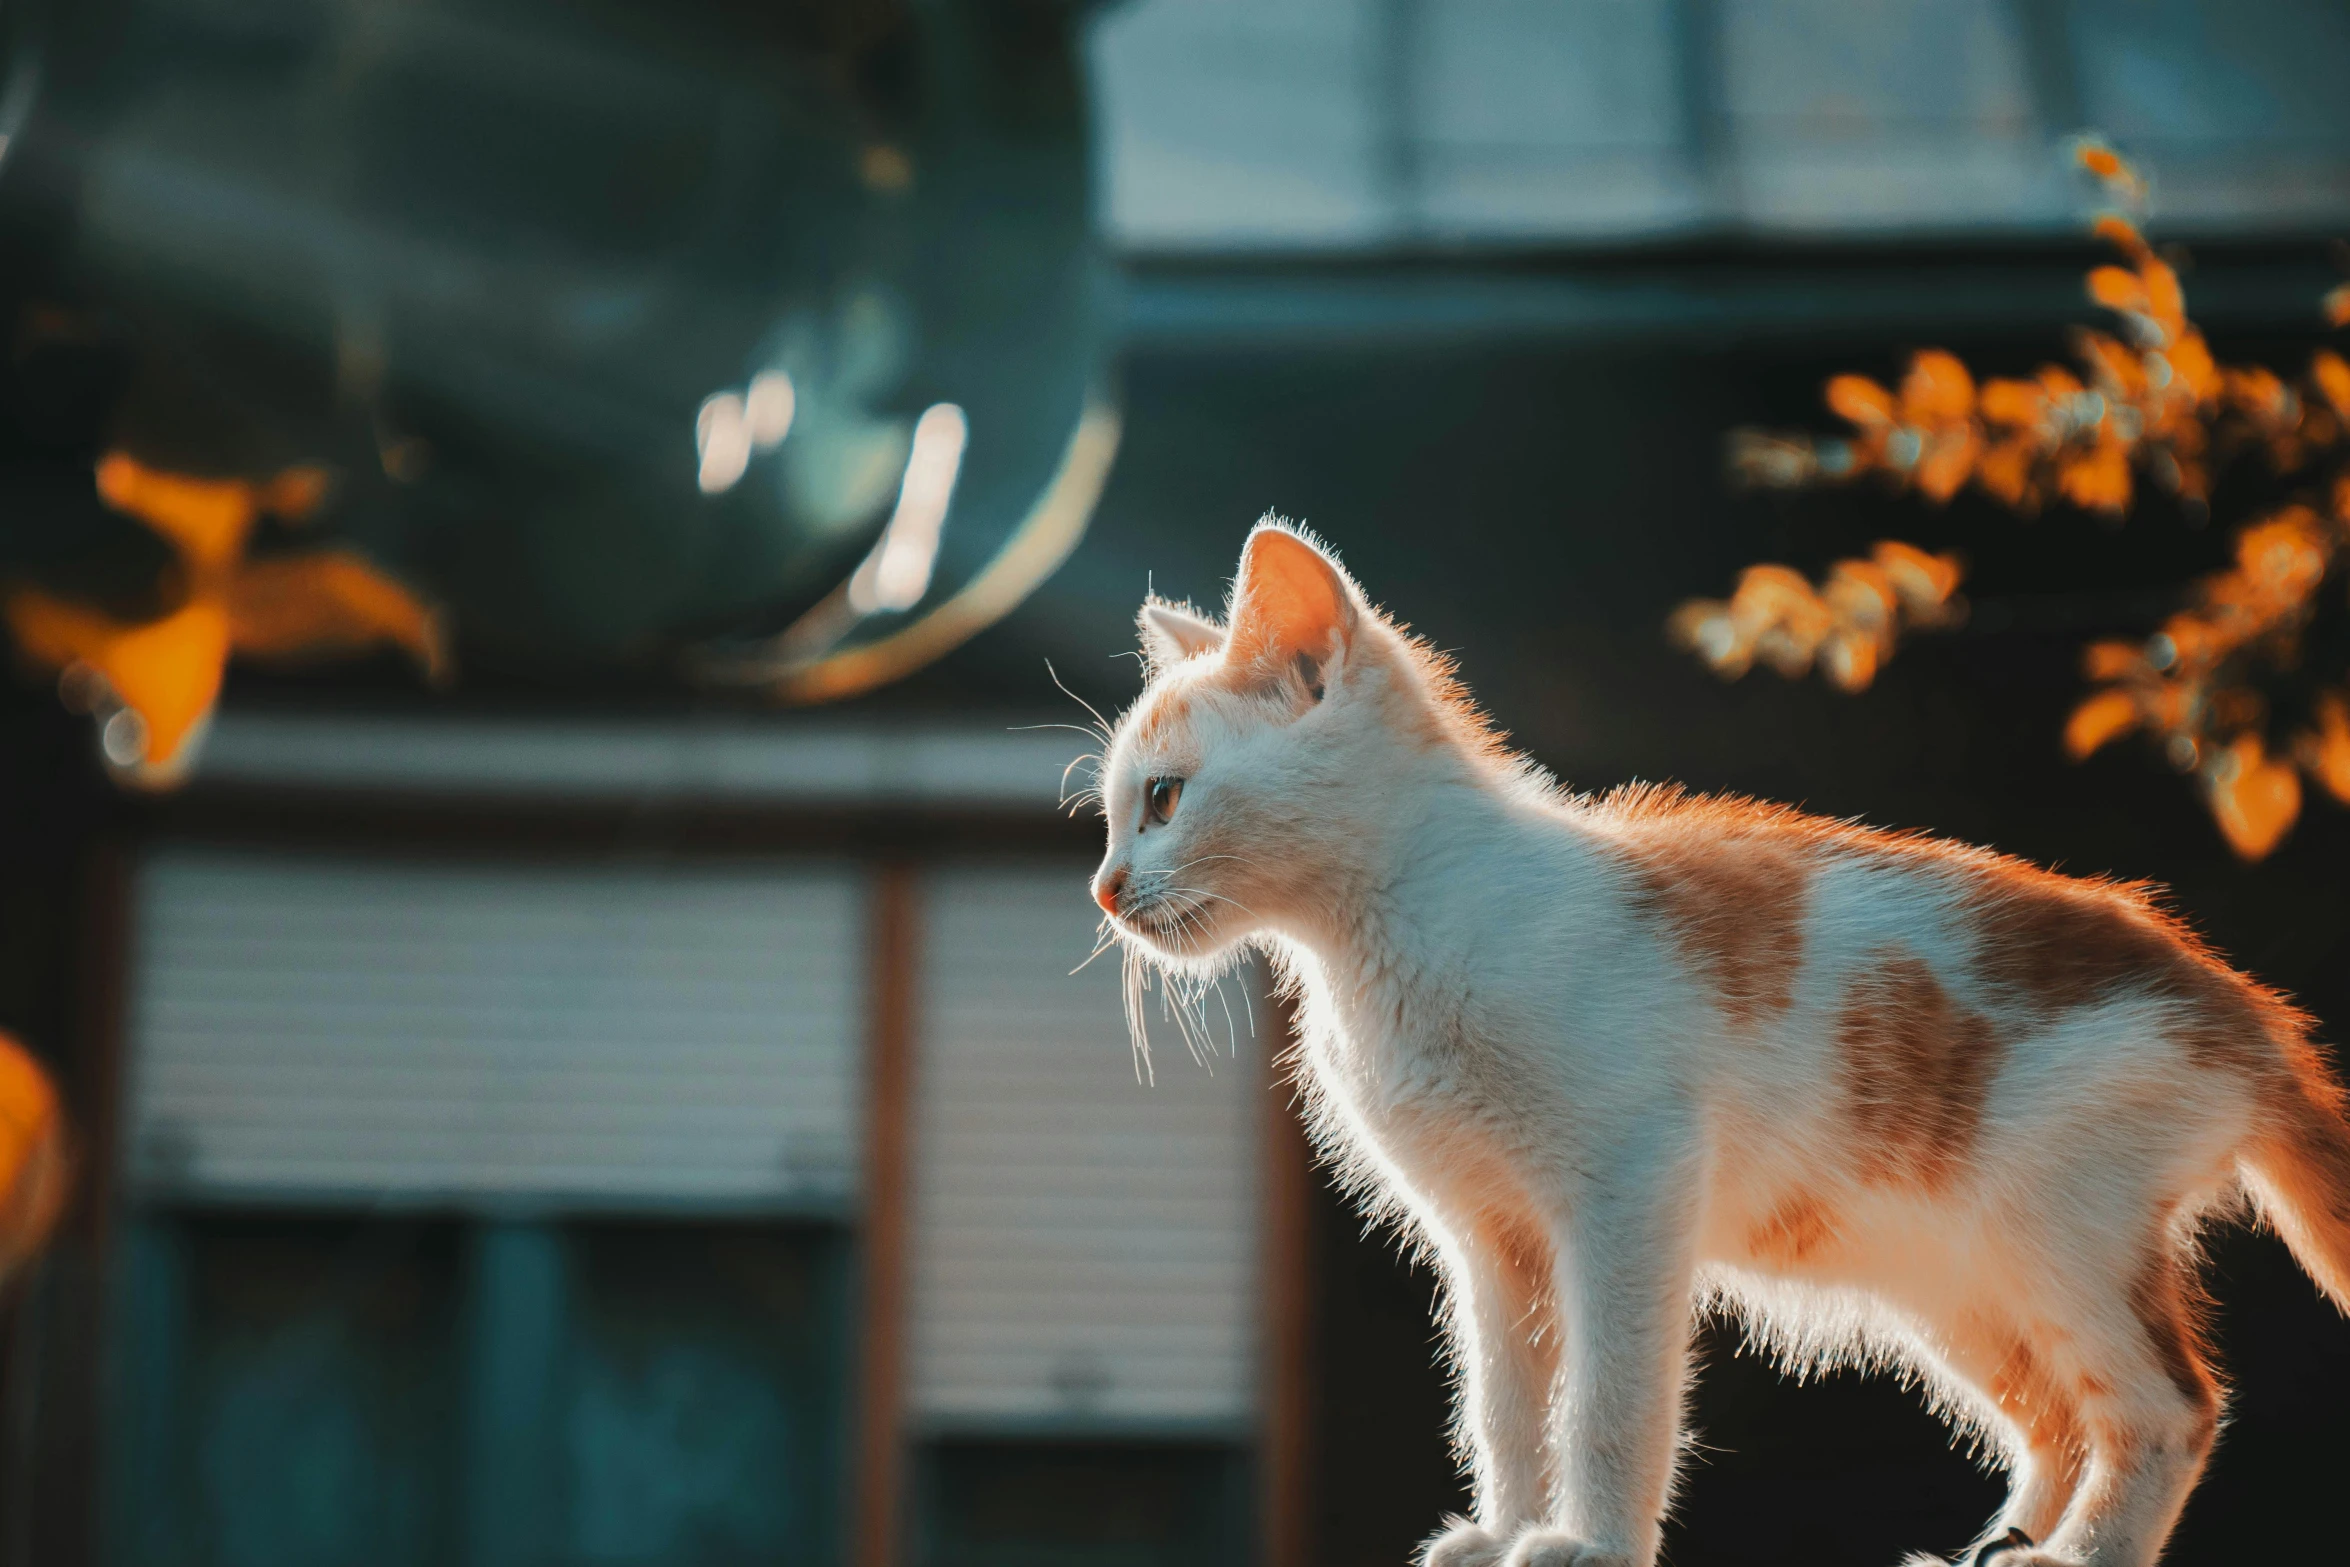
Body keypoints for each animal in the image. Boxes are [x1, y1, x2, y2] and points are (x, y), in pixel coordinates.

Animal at [1081, 523, 2350, 1567]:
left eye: (1162, 799)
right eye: (1107, 817)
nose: (1104, 888)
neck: (1398, 925)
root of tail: (2238, 1003)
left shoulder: (1630, 1186)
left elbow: (1609, 1391)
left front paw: (1586, 1542)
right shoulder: (1489, 1235)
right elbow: (1505, 1398)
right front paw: (1503, 1528)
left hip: (2058, 1227)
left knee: (2166, 1405)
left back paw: (2075, 1556)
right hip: (1952, 1274)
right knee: (2054, 1413)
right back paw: (1994, 1547)